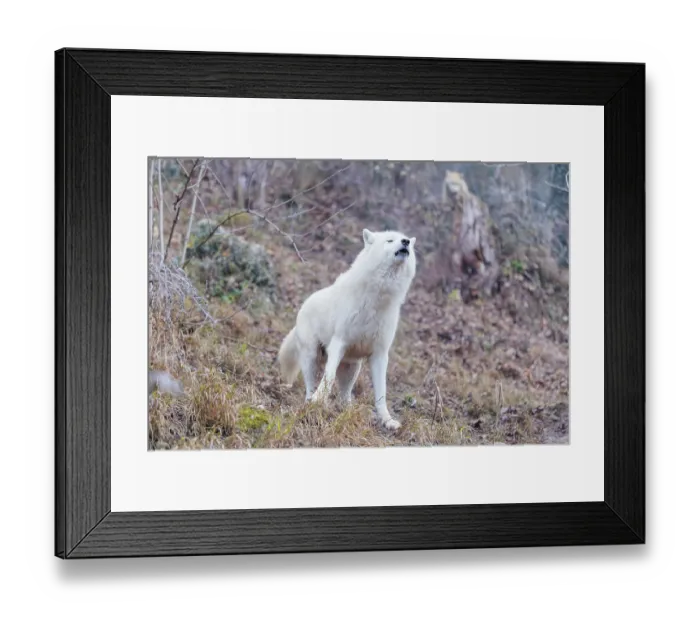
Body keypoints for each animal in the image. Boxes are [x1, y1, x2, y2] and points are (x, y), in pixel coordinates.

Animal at [278, 229, 416, 431]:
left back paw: (347, 412)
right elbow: (328, 377)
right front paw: (319, 401)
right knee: (310, 386)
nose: (406, 241)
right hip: (311, 358)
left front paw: (387, 420)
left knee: (345, 396)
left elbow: (381, 393)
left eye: (406, 242)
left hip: (352, 368)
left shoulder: (380, 355)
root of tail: (303, 306)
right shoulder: (339, 343)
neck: (379, 297)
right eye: (390, 240)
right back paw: (311, 402)